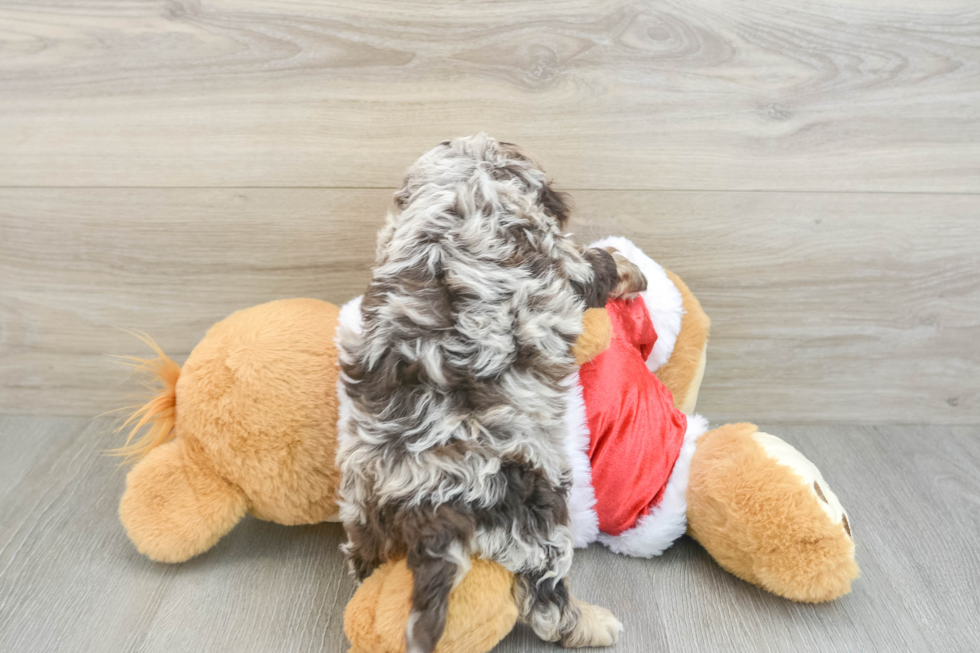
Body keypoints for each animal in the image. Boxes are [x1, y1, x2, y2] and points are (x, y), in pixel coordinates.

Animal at [336, 134, 644, 652]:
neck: (465, 181)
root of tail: (428, 505)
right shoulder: (562, 263)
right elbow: (596, 266)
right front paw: (629, 269)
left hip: (362, 506)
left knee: (363, 557)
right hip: (537, 509)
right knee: (544, 601)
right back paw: (591, 624)